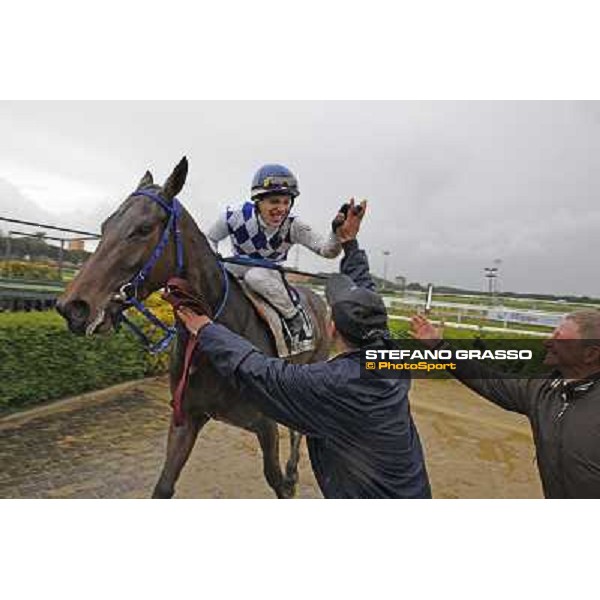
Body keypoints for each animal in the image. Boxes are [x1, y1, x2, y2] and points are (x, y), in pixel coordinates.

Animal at [56, 157, 330, 500]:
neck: (217, 337)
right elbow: (163, 486)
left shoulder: (266, 426)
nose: (73, 307)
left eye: (143, 229)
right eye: (106, 225)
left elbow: (277, 481)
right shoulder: (186, 417)